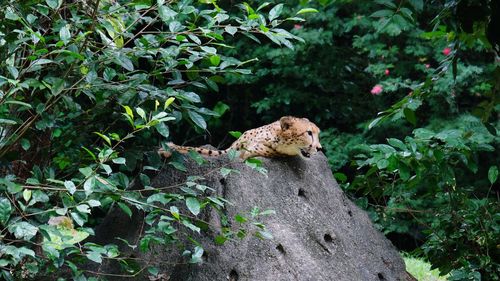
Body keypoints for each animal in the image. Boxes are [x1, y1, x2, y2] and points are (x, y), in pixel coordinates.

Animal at [160, 116, 324, 160]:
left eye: (317, 134)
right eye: (309, 133)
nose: (319, 148)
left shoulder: (242, 155)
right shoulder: (230, 150)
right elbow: (202, 150)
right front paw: (170, 147)